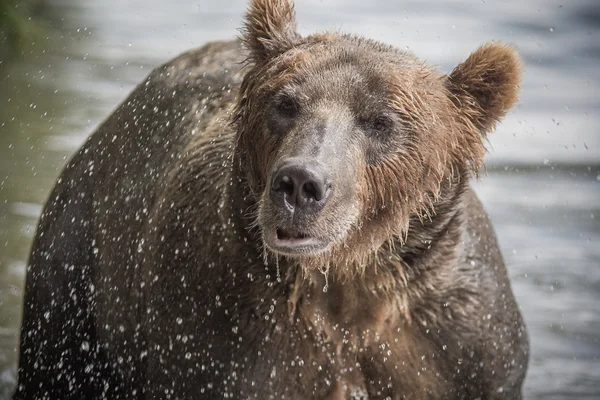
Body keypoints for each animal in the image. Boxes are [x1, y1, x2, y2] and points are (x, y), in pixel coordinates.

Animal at [15, 0, 528, 398]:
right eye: (285, 103)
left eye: (381, 121)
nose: (300, 183)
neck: (346, 283)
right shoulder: (220, 333)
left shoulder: (459, 346)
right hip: (76, 264)